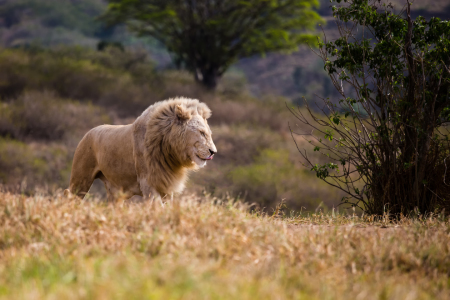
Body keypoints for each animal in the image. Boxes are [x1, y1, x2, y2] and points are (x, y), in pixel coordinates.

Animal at [63, 96, 216, 204]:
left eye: (209, 134)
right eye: (202, 133)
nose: (213, 152)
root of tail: (87, 133)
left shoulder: (165, 184)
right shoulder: (148, 182)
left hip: (115, 194)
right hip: (81, 179)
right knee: (69, 194)